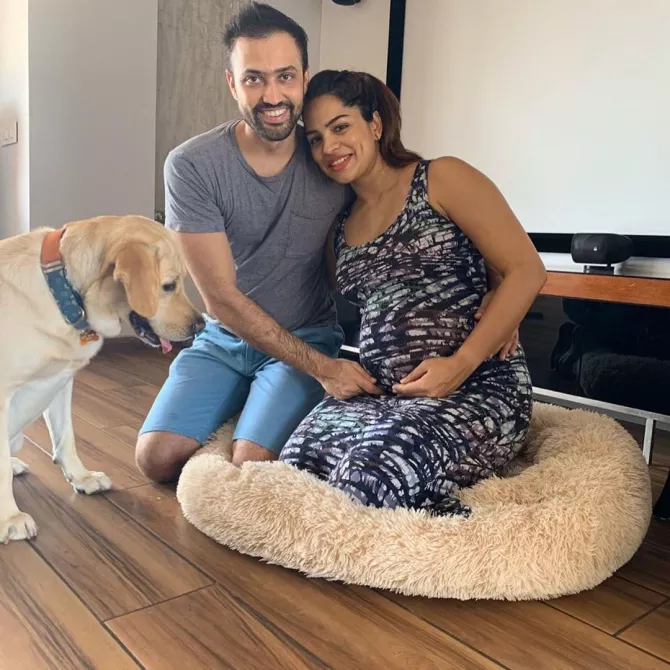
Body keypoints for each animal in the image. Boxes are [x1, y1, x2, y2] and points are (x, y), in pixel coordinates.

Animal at [0, 214, 203, 543]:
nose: (201, 326)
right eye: (169, 285)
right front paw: (9, 517)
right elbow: (1, 466)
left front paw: (82, 478)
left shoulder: (60, 382)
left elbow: (66, 438)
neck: (64, 294)